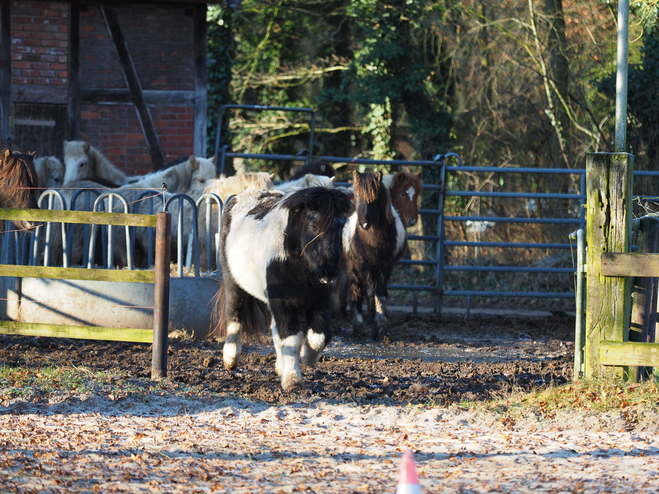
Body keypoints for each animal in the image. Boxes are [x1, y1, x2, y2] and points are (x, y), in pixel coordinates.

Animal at [215, 185, 350, 390]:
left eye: (341, 226)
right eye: (314, 225)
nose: (329, 271)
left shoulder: (319, 301)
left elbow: (318, 337)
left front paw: (304, 357)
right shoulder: (284, 302)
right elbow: (290, 339)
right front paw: (292, 379)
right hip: (233, 282)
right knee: (235, 315)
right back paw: (230, 359)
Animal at [342, 170, 404, 340]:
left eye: (375, 197)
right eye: (357, 194)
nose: (364, 224)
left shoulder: (386, 265)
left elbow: (381, 294)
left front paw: (382, 327)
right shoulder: (365, 265)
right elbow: (369, 294)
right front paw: (371, 328)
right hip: (354, 268)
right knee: (357, 292)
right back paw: (358, 328)